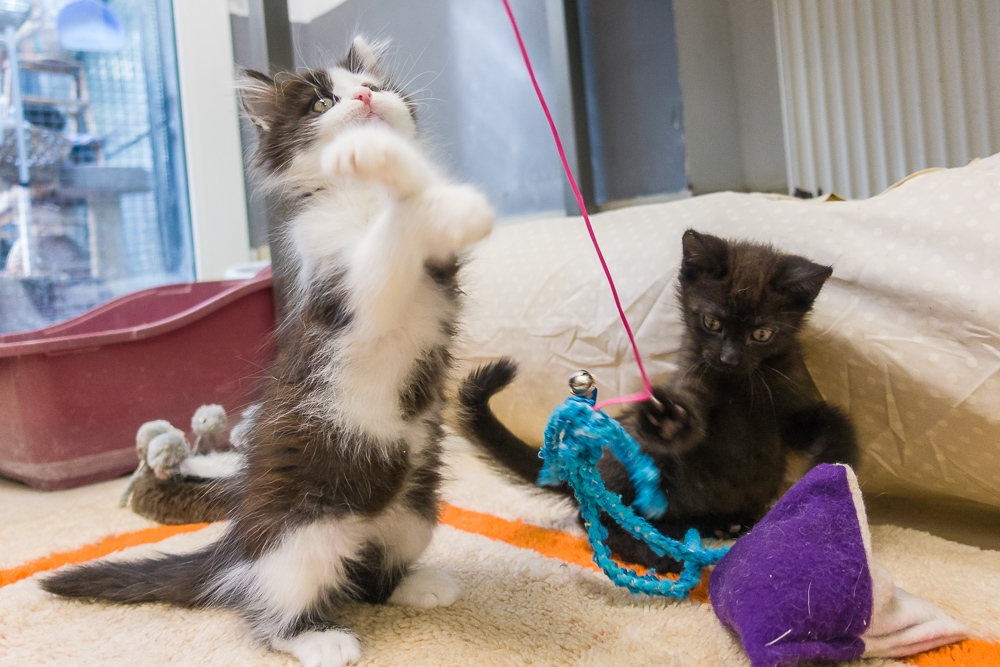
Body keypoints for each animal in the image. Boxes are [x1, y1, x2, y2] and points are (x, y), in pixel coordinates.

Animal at [44, 37, 496, 667]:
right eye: (322, 102)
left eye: (371, 88)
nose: (363, 99)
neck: (358, 201)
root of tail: (238, 546)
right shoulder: (348, 298)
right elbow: (387, 246)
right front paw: (384, 165)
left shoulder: (436, 273)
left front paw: (435, 192)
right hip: (304, 534)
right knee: (272, 604)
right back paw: (316, 638)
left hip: (414, 514)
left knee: (369, 575)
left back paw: (416, 585)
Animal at [460, 231, 860, 576]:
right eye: (711, 322)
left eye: (761, 334)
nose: (729, 358)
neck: (739, 385)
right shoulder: (694, 384)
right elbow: (689, 422)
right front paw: (669, 420)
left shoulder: (791, 406)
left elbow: (830, 423)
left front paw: (835, 463)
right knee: (597, 520)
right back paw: (657, 554)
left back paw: (724, 524)